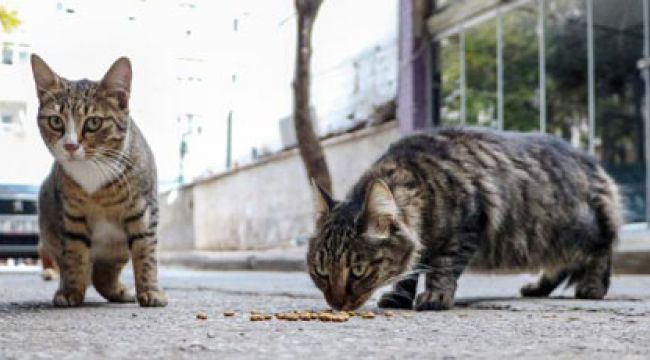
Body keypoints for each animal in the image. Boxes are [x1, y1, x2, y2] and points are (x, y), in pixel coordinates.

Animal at [31, 55, 166, 306]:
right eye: (55, 121)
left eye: (93, 122)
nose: (70, 145)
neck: (92, 171)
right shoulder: (71, 215)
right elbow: (74, 254)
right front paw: (71, 291)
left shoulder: (143, 210)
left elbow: (145, 251)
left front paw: (151, 290)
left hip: (117, 249)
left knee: (104, 273)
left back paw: (119, 291)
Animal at [306, 128, 620, 310]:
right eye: (321, 272)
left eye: (358, 271)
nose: (336, 305)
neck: (420, 184)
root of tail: (591, 162)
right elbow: (410, 271)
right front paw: (399, 297)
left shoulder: (465, 227)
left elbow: (442, 267)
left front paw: (435, 297)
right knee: (562, 265)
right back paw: (536, 287)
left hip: (569, 228)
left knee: (601, 247)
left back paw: (592, 287)